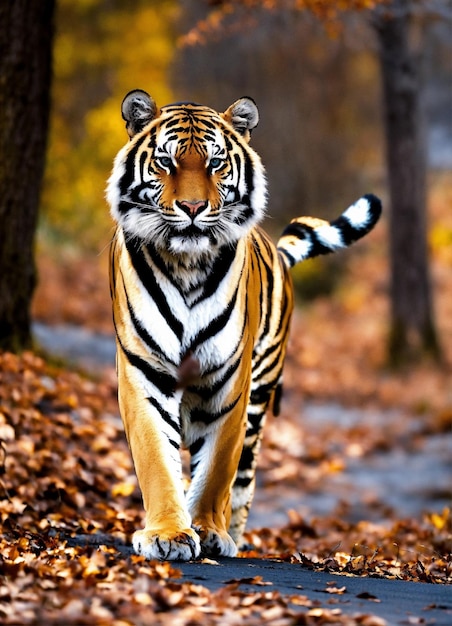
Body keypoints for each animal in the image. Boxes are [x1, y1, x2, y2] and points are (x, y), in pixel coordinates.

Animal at [107, 89, 382, 560]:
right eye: (166, 162)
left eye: (216, 163)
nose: (193, 208)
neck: (187, 265)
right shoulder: (146, 372)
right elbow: (157, 460)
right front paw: (168, 534)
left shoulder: (229, 381)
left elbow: (218, 468)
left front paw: (207, 530)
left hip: (260, 394)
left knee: (244, 479)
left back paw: (233, 535)